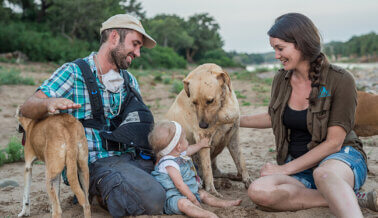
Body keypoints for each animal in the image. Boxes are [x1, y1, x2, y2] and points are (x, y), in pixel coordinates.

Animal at [165, 63, 251, 196]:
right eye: (194, 102)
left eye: (210, 101)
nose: (203, 125)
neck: (221, 111)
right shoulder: (203, 140)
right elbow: (207, 171)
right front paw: (212, 191)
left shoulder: (233, 136)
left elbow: (241, 161)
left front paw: (247, 179)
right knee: (202, 178)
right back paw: (220, 183)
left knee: (216, 172)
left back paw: (232, 176)